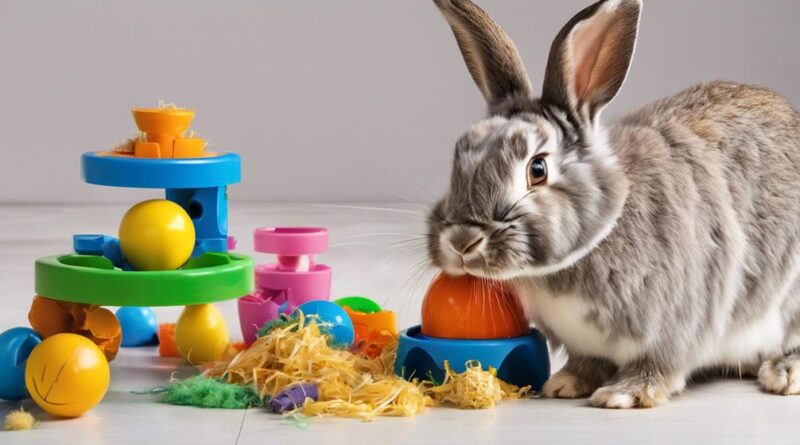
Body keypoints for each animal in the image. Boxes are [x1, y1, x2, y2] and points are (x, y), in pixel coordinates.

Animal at [428, 0, 800, 406]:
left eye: (537, 169)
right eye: (459, 153)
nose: (461, 242)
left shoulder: (675, 328)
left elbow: (658, 366)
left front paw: (623, 394)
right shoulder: (586, 345)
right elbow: (587, 363)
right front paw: (565, 384)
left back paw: (784, 375)